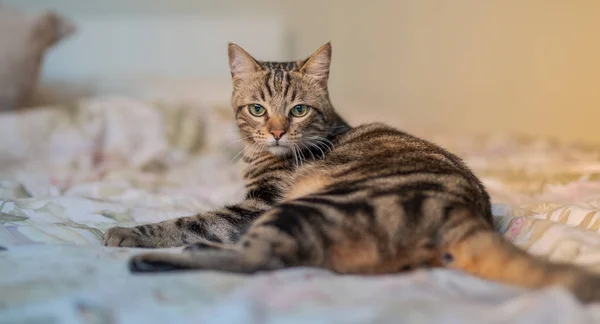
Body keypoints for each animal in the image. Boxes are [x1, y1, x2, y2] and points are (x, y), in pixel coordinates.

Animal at [103, 42, 600, 302]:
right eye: (258, 109)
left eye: (298, 110)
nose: (278, 131)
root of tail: (467, 212)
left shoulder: (256, 205)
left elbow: (188, 220)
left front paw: (128, 233)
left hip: (306, 207)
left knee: (260, 259)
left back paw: (161, 259)